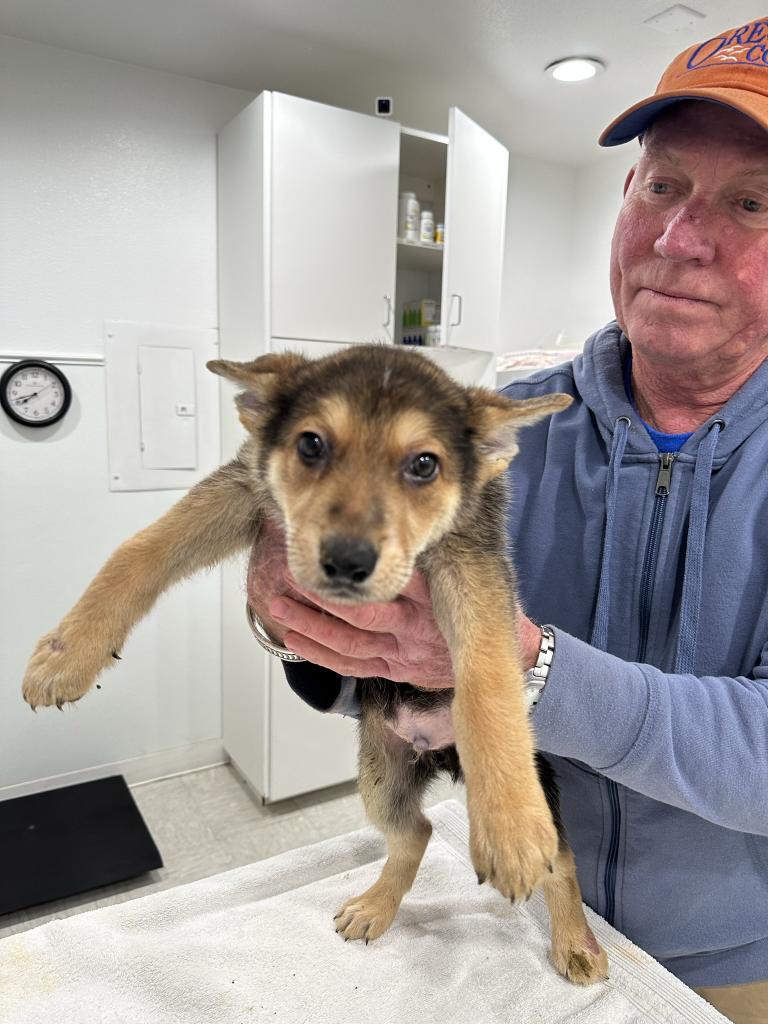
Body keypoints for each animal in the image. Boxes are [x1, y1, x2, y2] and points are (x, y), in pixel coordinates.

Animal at [22, 344, 606, 983]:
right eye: (311, 446)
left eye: (425, 465)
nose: (347, 561)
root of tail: (439, 751)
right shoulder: (242, 492)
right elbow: (140, 548)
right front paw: (67, 654)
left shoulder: (472, 559)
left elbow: (486, 670)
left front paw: (509, 824)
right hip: (380, 770)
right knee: (418, 831)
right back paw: (376, 906)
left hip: (529, 781)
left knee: (563, 856)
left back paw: (574, 939)